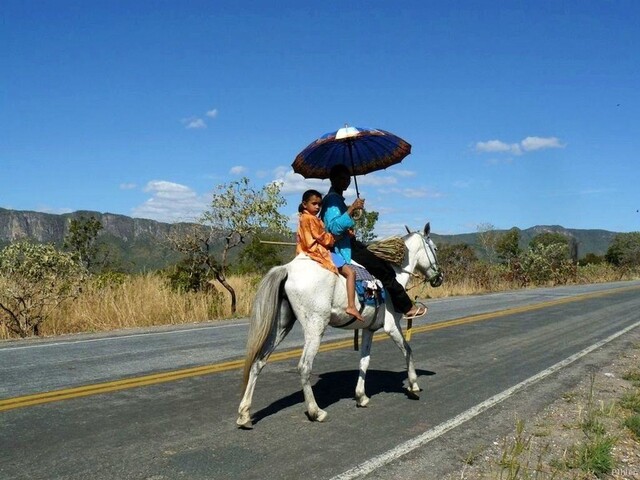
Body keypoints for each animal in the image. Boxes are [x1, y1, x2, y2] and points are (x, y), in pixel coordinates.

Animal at [236, 222, 444, 428]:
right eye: (434, 248)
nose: (439, 277)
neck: (396, 272)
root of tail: (287, 269)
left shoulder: (368, 329)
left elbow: (364, 360)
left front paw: (361, 397)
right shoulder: (391, 326)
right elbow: (407, 350)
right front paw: (413, 385)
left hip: (282, 325)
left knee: (258, 362)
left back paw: (245, 414)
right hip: (315, 327)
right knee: (304, 366)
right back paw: (316, 412)